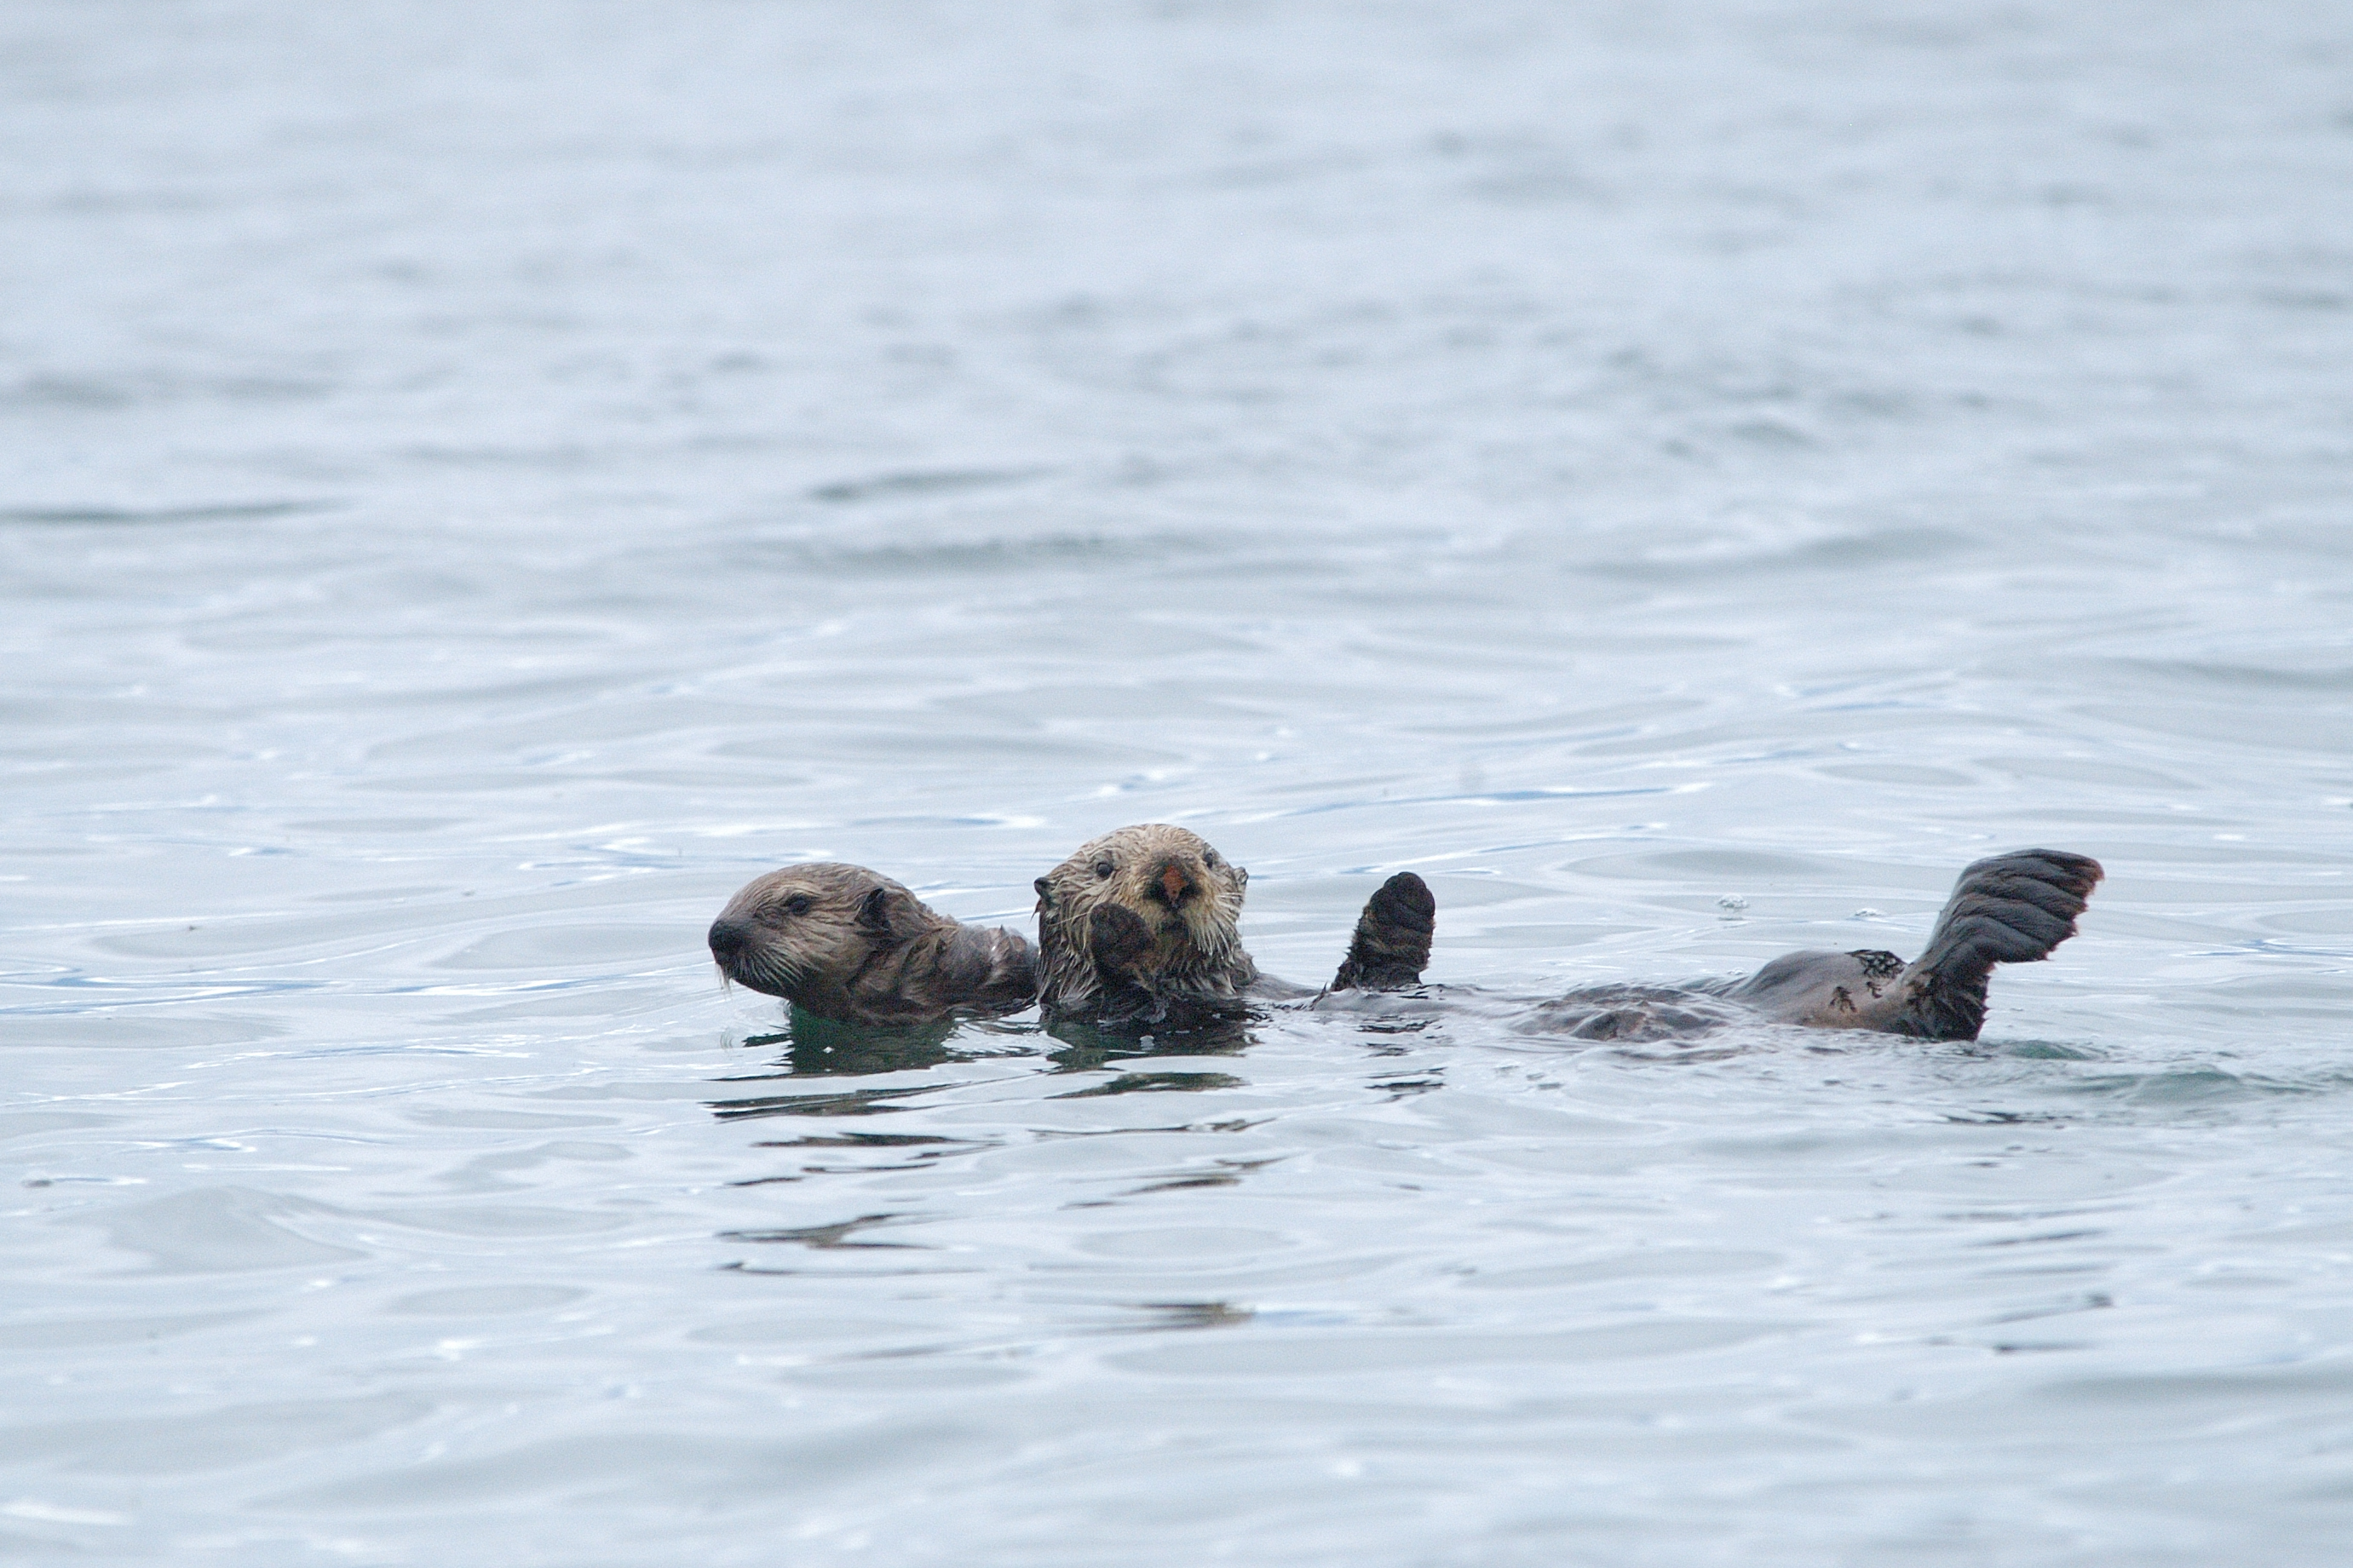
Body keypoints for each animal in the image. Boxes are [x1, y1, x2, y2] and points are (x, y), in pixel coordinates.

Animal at [1033, 823, 1436, 1027]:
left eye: (1208, 859)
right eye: (1103, 868)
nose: (1172, 880)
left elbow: (1378, 973)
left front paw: (1403, 901)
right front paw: (1118, 931)